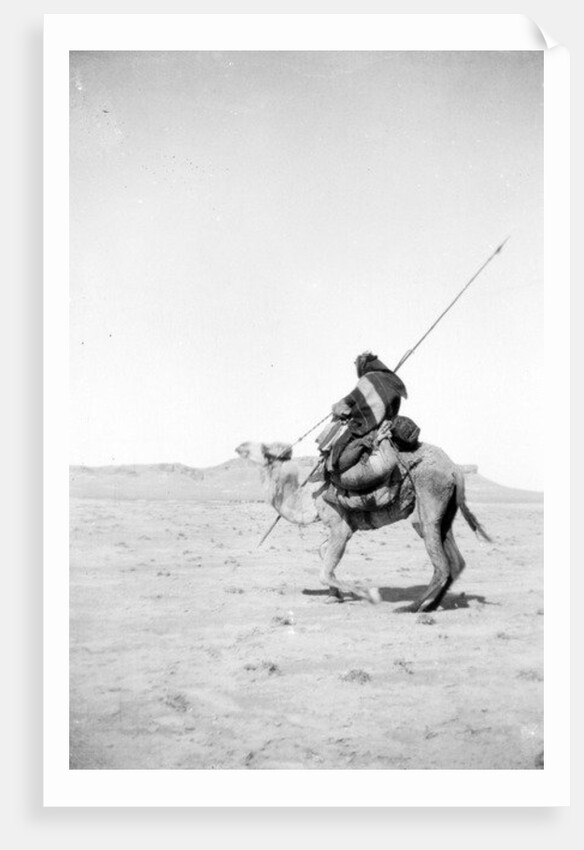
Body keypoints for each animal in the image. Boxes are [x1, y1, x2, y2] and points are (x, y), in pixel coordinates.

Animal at [235, 439, 491, 612]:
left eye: (263, 449)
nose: (239, 446)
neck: (308, 498)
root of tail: (455, 469)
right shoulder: (341, 529)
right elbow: (323, 556)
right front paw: (334, 596)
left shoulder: (340, 527)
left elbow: (324, 573)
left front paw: (370, 595)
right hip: (446, 509)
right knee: (455, 561)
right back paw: (430, 606)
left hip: (430, 496)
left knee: (440, 563)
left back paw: (411, 607)